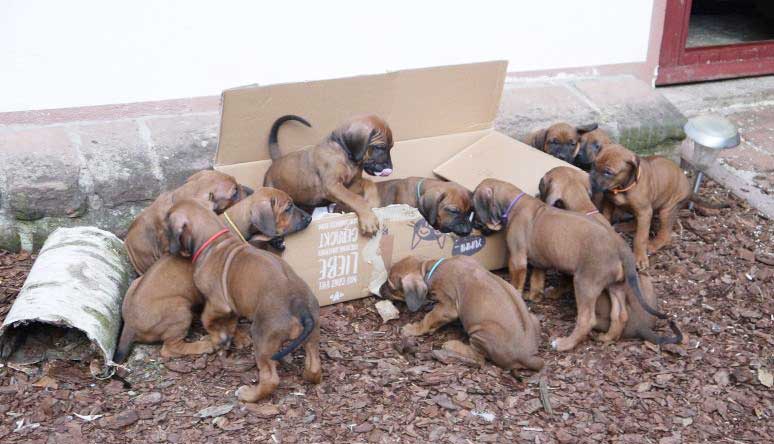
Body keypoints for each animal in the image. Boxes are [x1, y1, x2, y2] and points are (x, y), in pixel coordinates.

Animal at [164, 199, 322, 400]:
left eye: (167, 221)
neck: (215, 241)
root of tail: (299, 305)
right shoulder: (232, 306)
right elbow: (230, 324)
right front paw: (230, 337)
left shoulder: (217, 304)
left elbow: (206, 319)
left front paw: (218, 339)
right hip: (313, 333)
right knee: (314, 365)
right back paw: (308, 375)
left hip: (263, 339)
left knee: (270, 379)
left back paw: (249, 395)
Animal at [266, 114, 398, 236]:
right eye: (379, 147)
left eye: (391, 147)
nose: (390, 169)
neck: (344, 152)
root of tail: (277, 160)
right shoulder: (332, 186)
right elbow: (356, 198)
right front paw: (368, 219)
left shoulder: (352, 183)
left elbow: (368, 183)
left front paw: (373, 201)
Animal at [378, 255, 544, 372]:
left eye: (391, 286)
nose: (379, 290)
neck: (430, 268)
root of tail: (527, 356)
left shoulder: (447, 307)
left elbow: (429, 318)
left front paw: (414, 329)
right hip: (533, 318)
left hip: (482, 332)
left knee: (479, 358)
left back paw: (452, 345)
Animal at [470, 179, 684, 352]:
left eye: (474, 211)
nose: (474, 227)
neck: (514, 203)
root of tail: (621, 249)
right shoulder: (539, 262)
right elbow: (537, 280)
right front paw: (534, 296)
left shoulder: (518, 259)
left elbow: (517, 283)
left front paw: (517, 294)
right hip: (615, 285)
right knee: (619, 315)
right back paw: (606, 338)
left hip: (585, 284)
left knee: (587, 319)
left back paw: (565, 344)